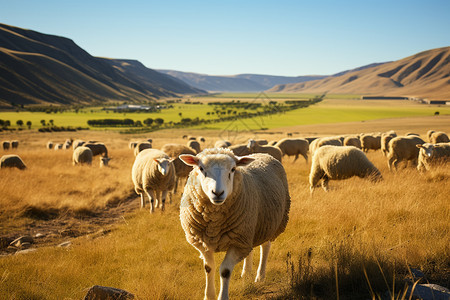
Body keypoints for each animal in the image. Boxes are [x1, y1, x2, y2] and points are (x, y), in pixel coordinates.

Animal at [179, 148, 292, 300]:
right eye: (201, 168)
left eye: (232, 169)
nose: (218, 193)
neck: (214, 224)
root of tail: (262, 153)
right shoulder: (204, 242)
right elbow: (209, 268)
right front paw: (209, 295)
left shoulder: (237, 242)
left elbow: (225, 271)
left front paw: (222, 296)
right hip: (249, 229)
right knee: (250, 249)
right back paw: (246, 273)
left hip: (267, 224)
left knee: (265, 247)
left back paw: (260, 277)